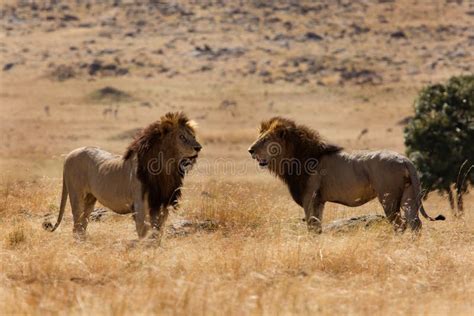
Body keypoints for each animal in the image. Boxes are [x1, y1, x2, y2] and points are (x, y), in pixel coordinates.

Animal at [43, 112, 201, 238]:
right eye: (182, 137)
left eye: (193, 136)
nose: (198, 147)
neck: (167, 169)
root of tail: (69, 155)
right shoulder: (140, 204)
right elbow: (144, 230)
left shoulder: (162, 203)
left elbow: (159, 230)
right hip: (76, 195)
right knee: (76, 224)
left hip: (90, 199)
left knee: (82, 224)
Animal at [248, 116, 444, 232]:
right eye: (259, 137)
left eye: (265, 140)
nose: (250, 150)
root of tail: (406, 161)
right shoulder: (319, 201)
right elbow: (317, 228)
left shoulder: (309, 197)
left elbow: (311, 227)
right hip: (409, 196)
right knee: (415, 223)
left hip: (388, 198)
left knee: (400, 224)